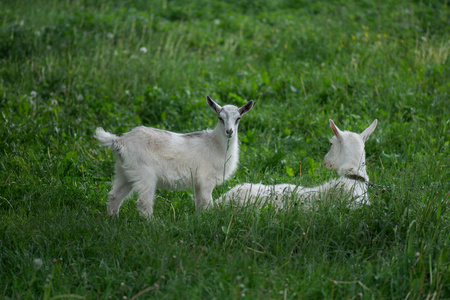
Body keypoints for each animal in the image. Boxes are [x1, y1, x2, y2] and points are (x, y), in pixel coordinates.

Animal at [94, 95, 253, 217]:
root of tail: (120, 141)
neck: (215, 145)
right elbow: (207, 203)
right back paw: (152, 224)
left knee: (114, 196)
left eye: (238, 118)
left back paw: (112, 218)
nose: (229, 131)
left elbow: (199, 203)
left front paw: (199, 219)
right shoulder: (207, 180)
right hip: (145, 174)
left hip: (125, 172)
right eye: (220, 117)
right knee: (143, 202)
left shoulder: (198, 182)